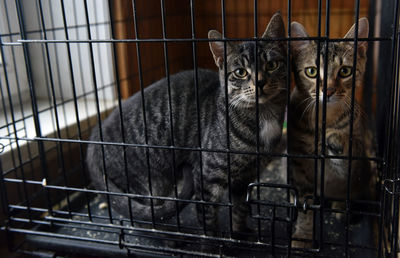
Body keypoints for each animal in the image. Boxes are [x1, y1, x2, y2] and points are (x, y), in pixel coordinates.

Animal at [86, 11, 288, 236]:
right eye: (240, 72)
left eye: (272, 65)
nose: (260, 82)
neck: (263, 116)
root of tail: (94, 138)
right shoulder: (207, 175)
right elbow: (207, 217)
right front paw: (213, 240)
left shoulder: (245, 178)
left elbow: (240, 210)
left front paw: (240, 232)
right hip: (148, 182)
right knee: (145, 214)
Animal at [288, 18, 376, 248]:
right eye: (311, 71)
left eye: (345, 71)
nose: (327, 91)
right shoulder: (301, 164)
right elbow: (306, 204)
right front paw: (303, 236)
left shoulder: (353, 161)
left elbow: (345, 154)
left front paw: (336, 139)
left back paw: (340, 207)